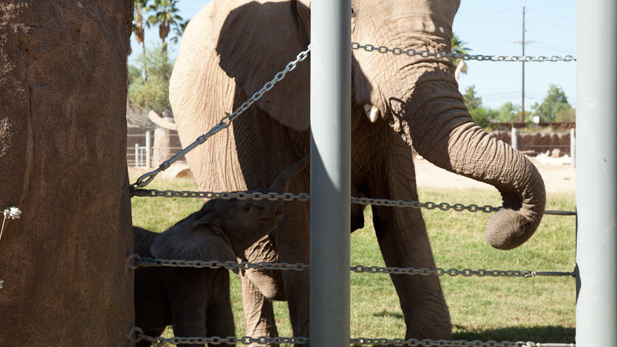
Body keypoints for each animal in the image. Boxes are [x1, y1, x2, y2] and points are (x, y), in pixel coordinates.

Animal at [134, 158, 308, 347]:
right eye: (247, 208)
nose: (305, 159)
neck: (198, 220)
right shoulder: (184, 278)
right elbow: (191, 330)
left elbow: (223, 326)